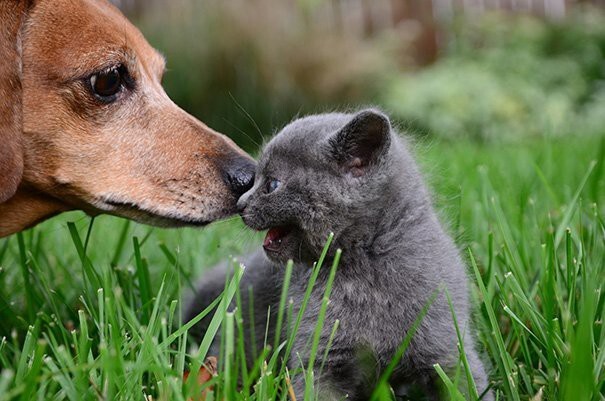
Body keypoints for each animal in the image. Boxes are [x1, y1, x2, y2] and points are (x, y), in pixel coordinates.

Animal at [185, 109, 490, 400]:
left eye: (272, 184)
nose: (241, 204)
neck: (365, 264)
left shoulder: (447, 345)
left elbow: (466, 384)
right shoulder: (320, 357)